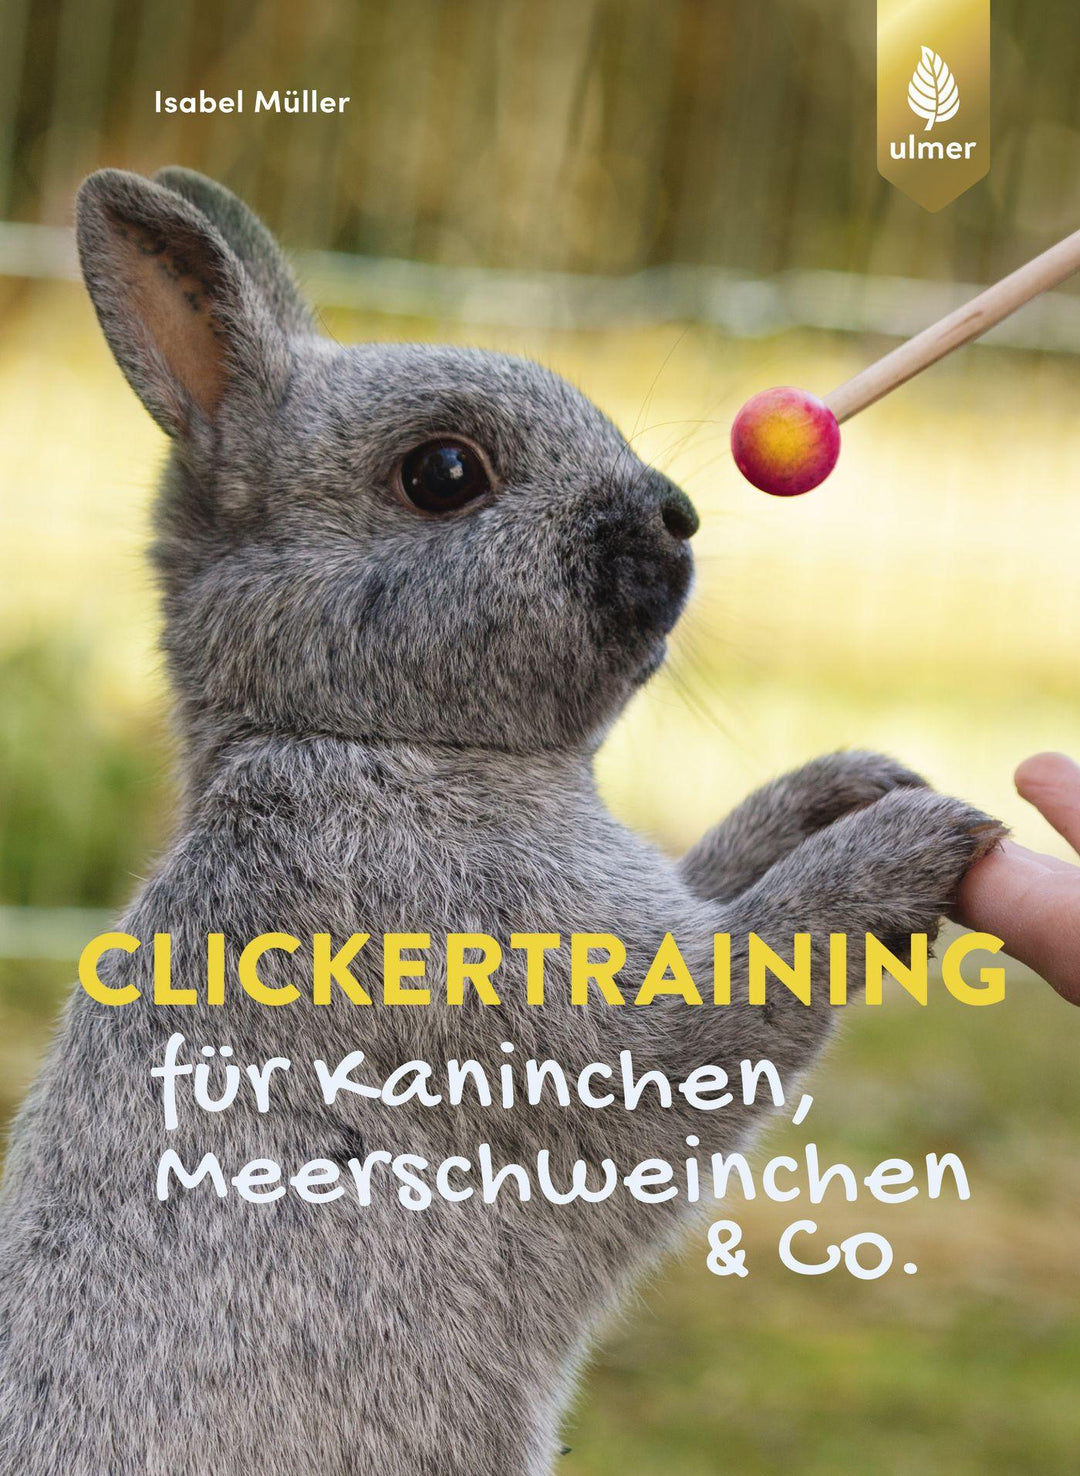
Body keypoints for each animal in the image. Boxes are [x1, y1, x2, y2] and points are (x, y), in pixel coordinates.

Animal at [0, 167, 1003, 1476]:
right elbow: (751, 969)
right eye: (443, 474)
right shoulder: (583, 1021)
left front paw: (849, 788)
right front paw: (905, 844)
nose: (675, 514)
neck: (377, 739)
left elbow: (721, 874)